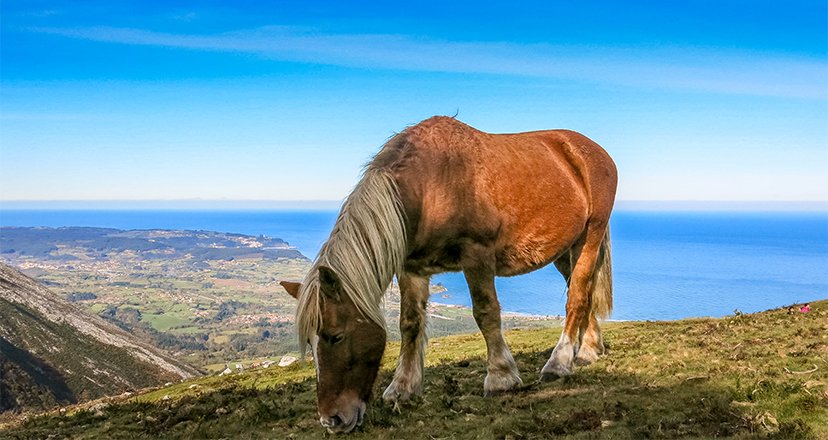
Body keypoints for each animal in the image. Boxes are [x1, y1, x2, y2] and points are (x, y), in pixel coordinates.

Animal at [284, 116, 616, 434]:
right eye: (310, 344)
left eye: (335, 336)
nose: (332, 420)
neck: (431, 185)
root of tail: (591, 151)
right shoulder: (412, 268)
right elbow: (410, 324)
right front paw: (403, 387)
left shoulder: (477, 256)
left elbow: (485, 313)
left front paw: (501, 377)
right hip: (563, 249)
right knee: (583, 290)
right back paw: (588, 349)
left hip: (590, 235)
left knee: (577, 294)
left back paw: (559, 362)